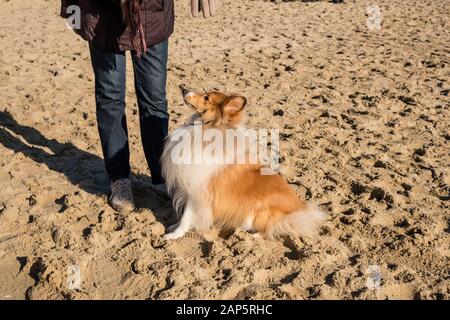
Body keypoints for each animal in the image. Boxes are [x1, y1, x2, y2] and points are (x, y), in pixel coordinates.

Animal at [161, 89, 324, 239]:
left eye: (206, 97)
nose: (183, 90)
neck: (206, 128)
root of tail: (299, 211)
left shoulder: (198, 192)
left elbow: (186, 216)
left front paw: (174, 234)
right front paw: (173, 227)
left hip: (257, 212)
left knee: (272, 228)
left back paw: (252, 236)